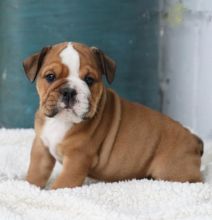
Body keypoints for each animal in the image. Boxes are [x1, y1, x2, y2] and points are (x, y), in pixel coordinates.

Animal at [22, 41, 203, 189]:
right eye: (50, 77)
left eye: (89, 80)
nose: (69, 91)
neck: (61, 122)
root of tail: (194, 140)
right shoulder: (41, 147)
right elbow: (36, 172)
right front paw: (29, 187)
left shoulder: (77, 159)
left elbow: (61, 185)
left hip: (171, 171)